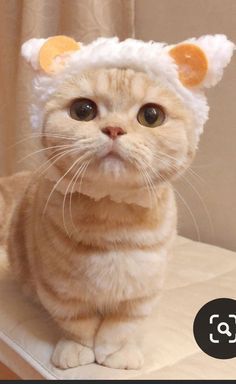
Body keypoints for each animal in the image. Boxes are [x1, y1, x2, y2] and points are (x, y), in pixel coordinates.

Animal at [6, 35, 233, 368]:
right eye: (83, 110)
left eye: (151, 116)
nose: (114, 129)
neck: (112, 221)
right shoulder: (58, 291)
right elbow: (78, 323)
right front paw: (79, 348)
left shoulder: (141, 295)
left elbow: (121, 326)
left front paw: (115, 352)